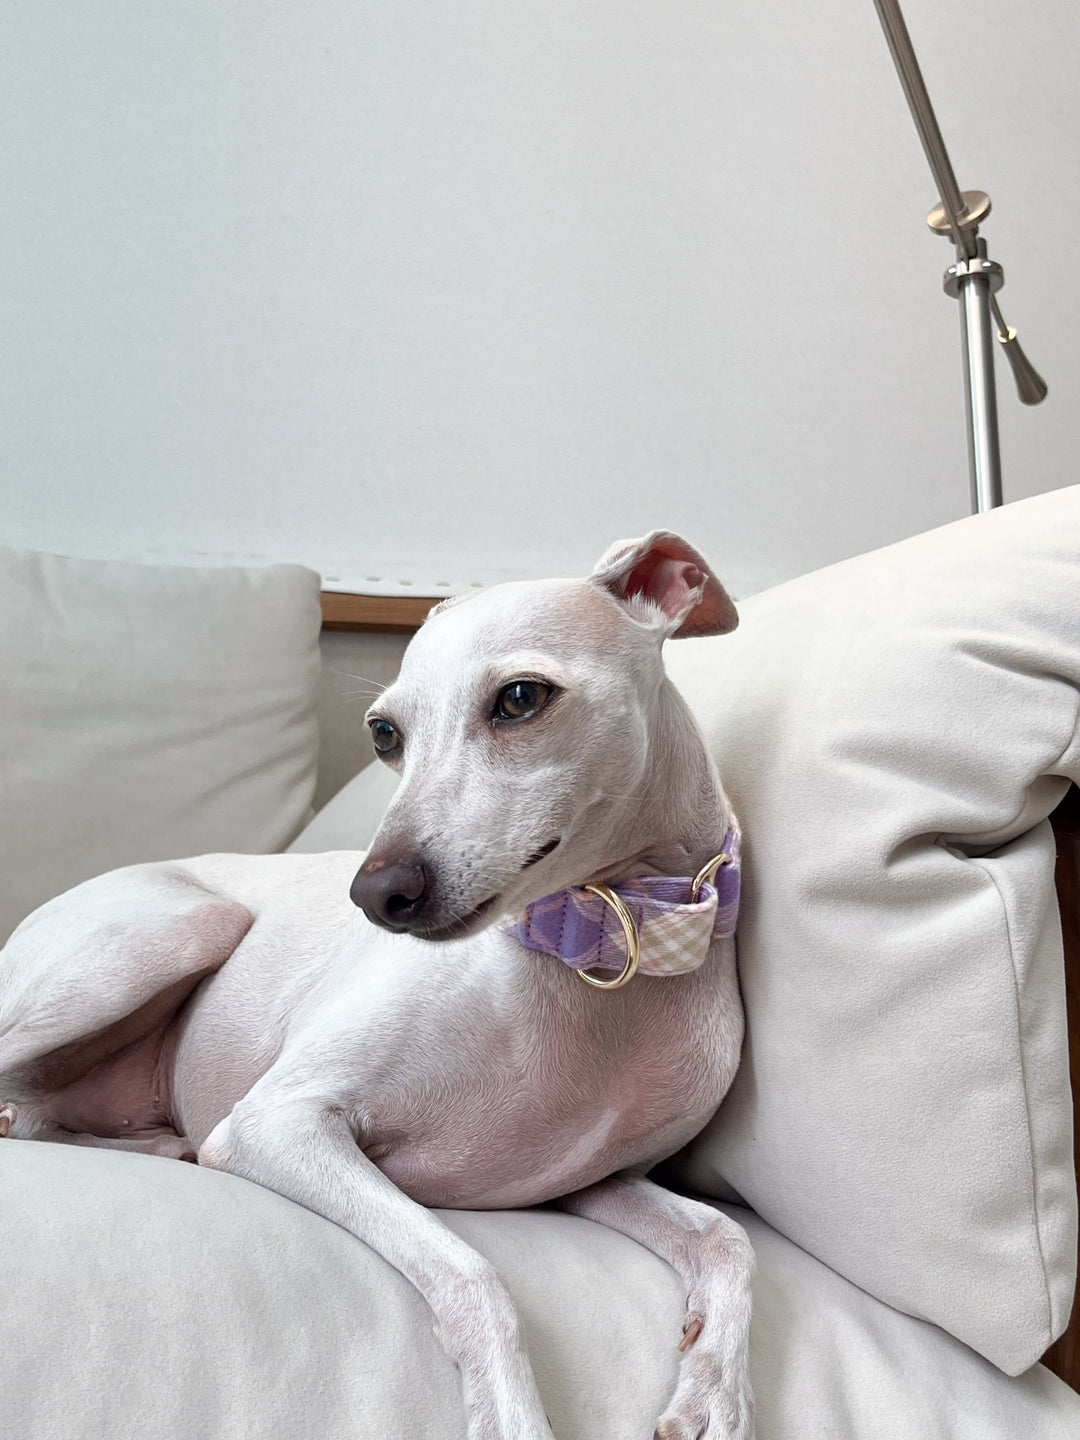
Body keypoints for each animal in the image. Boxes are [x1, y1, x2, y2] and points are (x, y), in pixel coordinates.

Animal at [0, 535, 754, 1440]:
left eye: (521, 698)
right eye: (386, 734)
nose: (375, 895)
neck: (600, 948)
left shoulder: (591, 1181)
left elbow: (728, 1237)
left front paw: (715, 1391)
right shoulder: (275, 1124)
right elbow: (474, 1277)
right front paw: (512, 1415)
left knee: (32, 1117)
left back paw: (155, 1144)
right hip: (181, 931)